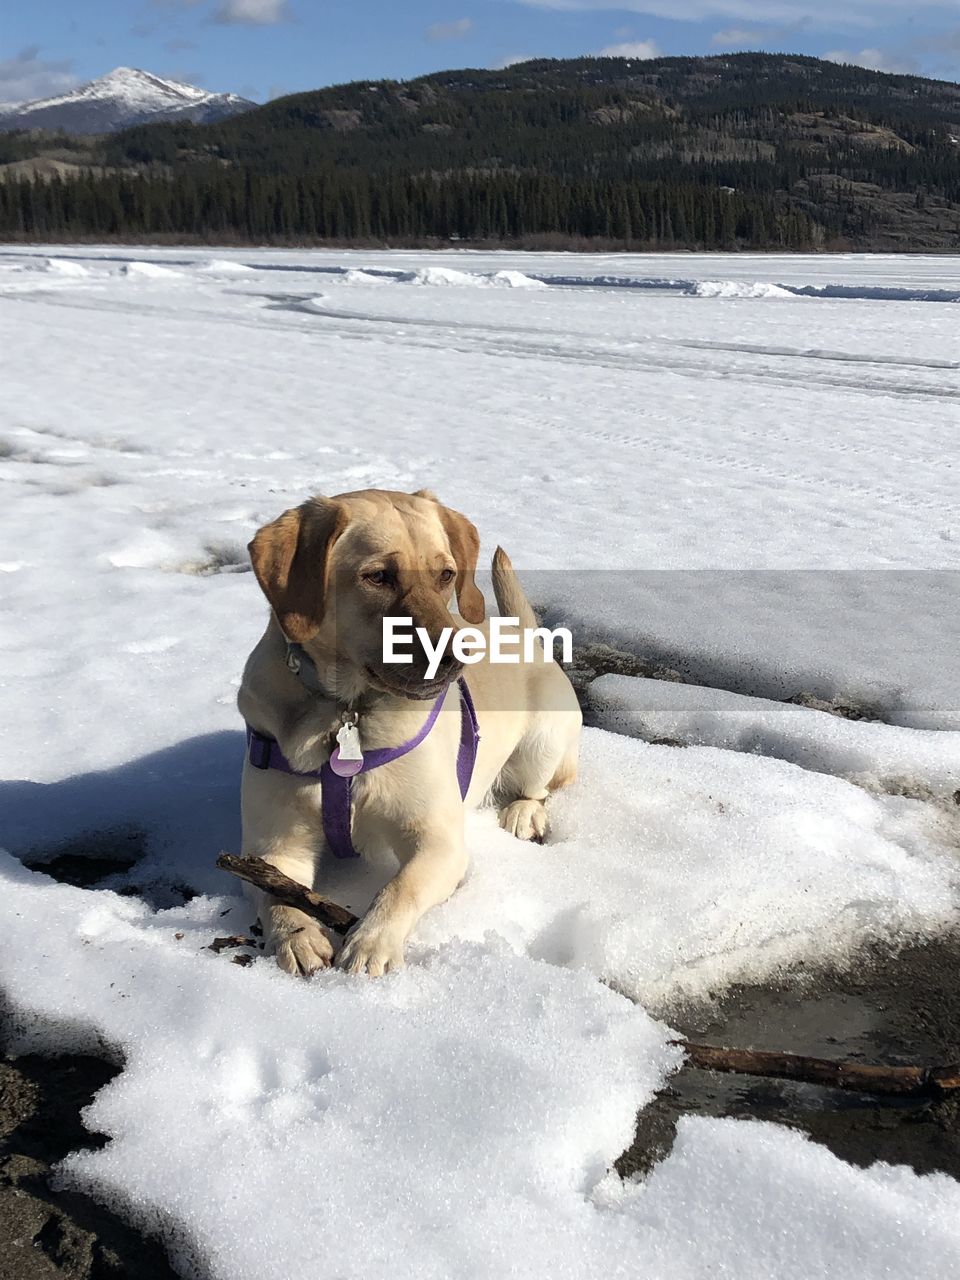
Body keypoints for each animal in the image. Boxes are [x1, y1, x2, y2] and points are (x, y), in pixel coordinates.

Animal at [239, 488, 586, 977]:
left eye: (446, 575)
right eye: (378, 576)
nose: (453, 659)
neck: (348, 711)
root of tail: (522, 634)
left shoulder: (438, 841)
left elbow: (400, 887)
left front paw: (371, 941)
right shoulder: (273, 845)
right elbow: (276, 894)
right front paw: (297, 936)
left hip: (544, 738)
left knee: (544, 785)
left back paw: (523, 812)